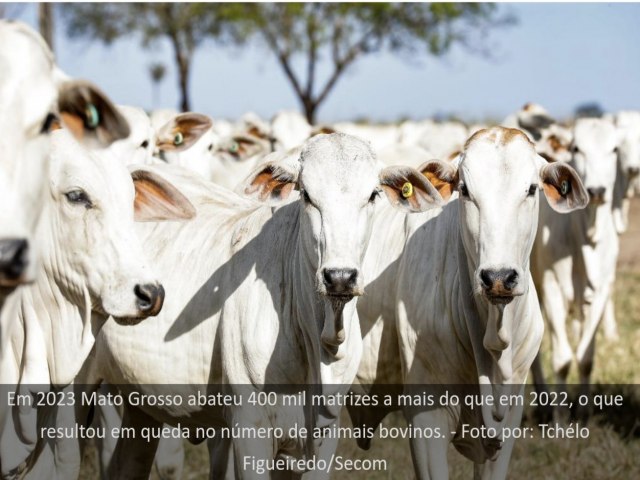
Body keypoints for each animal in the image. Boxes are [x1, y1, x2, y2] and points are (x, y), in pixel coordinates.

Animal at [85, 133, 442, 478]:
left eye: (372, 196)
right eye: (307, 196)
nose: (339, 277)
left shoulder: (321, 439)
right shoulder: (250, 429)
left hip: (140, 406)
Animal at [532, 117, 624, 412]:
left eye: (615, 149)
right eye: (576, 148)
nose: (597, 190)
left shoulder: (601, 290)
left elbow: (585, 358)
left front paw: (584, 412)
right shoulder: (551, 286)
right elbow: (562, 360)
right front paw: (559, 419)